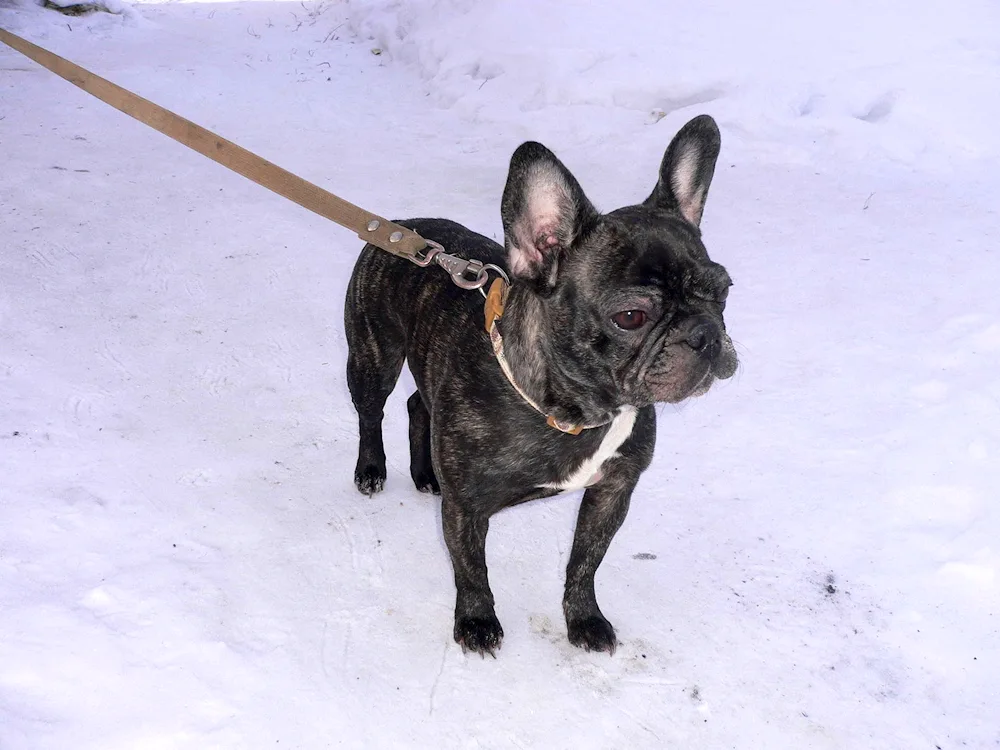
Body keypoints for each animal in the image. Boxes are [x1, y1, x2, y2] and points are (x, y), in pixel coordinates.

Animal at [344, 116, 736, 656]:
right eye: (630, 317)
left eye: (724, 291)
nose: (705, 333)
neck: (581, 410)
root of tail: (404, 227)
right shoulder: (466, 507)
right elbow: (471, 568)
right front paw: (477, 622)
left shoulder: (613, 491)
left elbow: (585, 562)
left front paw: (585, 618)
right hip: (373, 357)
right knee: (372, 410)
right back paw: (371, 469)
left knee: (417, 403)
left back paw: (425, 473)